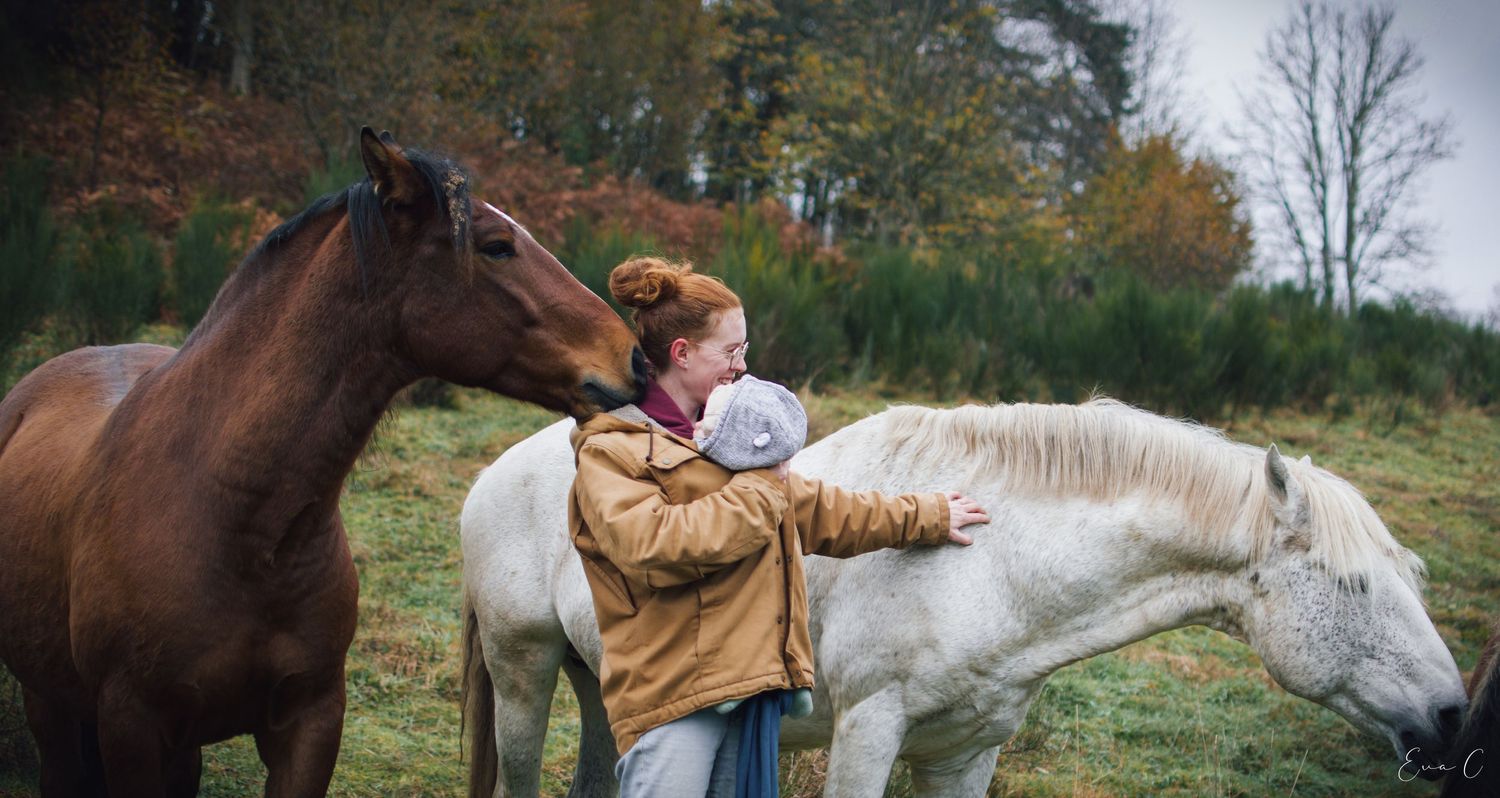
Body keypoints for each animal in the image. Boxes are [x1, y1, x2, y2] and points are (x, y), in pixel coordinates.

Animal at [0, 127, 647, 797]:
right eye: (496, 247)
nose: (634, 358)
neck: (234, 521)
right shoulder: (133, 727)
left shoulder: (310, 722)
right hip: (53, 707)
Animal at [459, 398, 1468, 797]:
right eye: (1352, 586)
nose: (1452, 715)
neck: (993, 566)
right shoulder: (870, 732)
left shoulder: (965, 752)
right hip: (523, 672)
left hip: (605, 690)